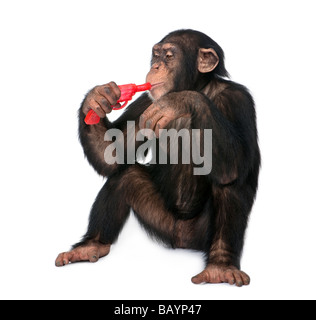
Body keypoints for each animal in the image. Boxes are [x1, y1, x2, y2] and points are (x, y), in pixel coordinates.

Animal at [56, 28, 260, 286]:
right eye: (155, 54)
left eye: (169, 56)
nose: (155, 66)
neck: (199, 86)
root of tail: (182, 243)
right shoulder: (144, 102)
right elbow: (112, 155)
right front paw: (97, 98)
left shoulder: (239, 100)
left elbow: (238, 165)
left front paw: (181, 101)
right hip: (162, 223)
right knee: (126, 176)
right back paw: (90, 246)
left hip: (200, 234)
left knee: (228, 183)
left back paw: (220, 267)